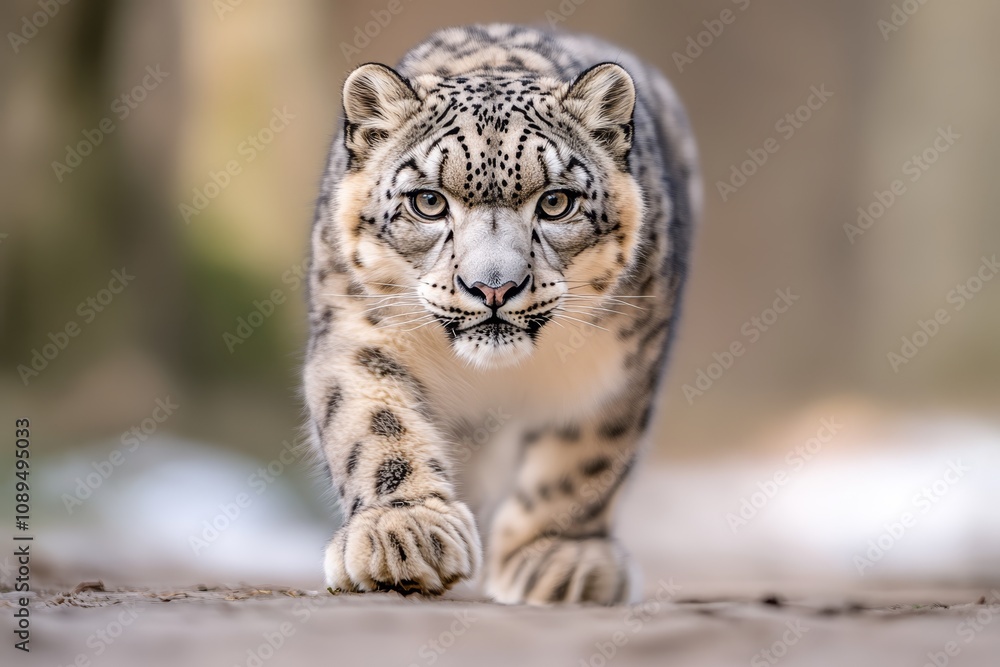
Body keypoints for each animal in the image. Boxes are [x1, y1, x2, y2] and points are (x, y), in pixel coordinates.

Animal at [303, 23, 699, 605]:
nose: (494, 287)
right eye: (428, 202)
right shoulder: (357, 329)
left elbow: (585, 457)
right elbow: (375, 423)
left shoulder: (616, 361)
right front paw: (404, 532)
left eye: (556, 202)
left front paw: (558, 557)